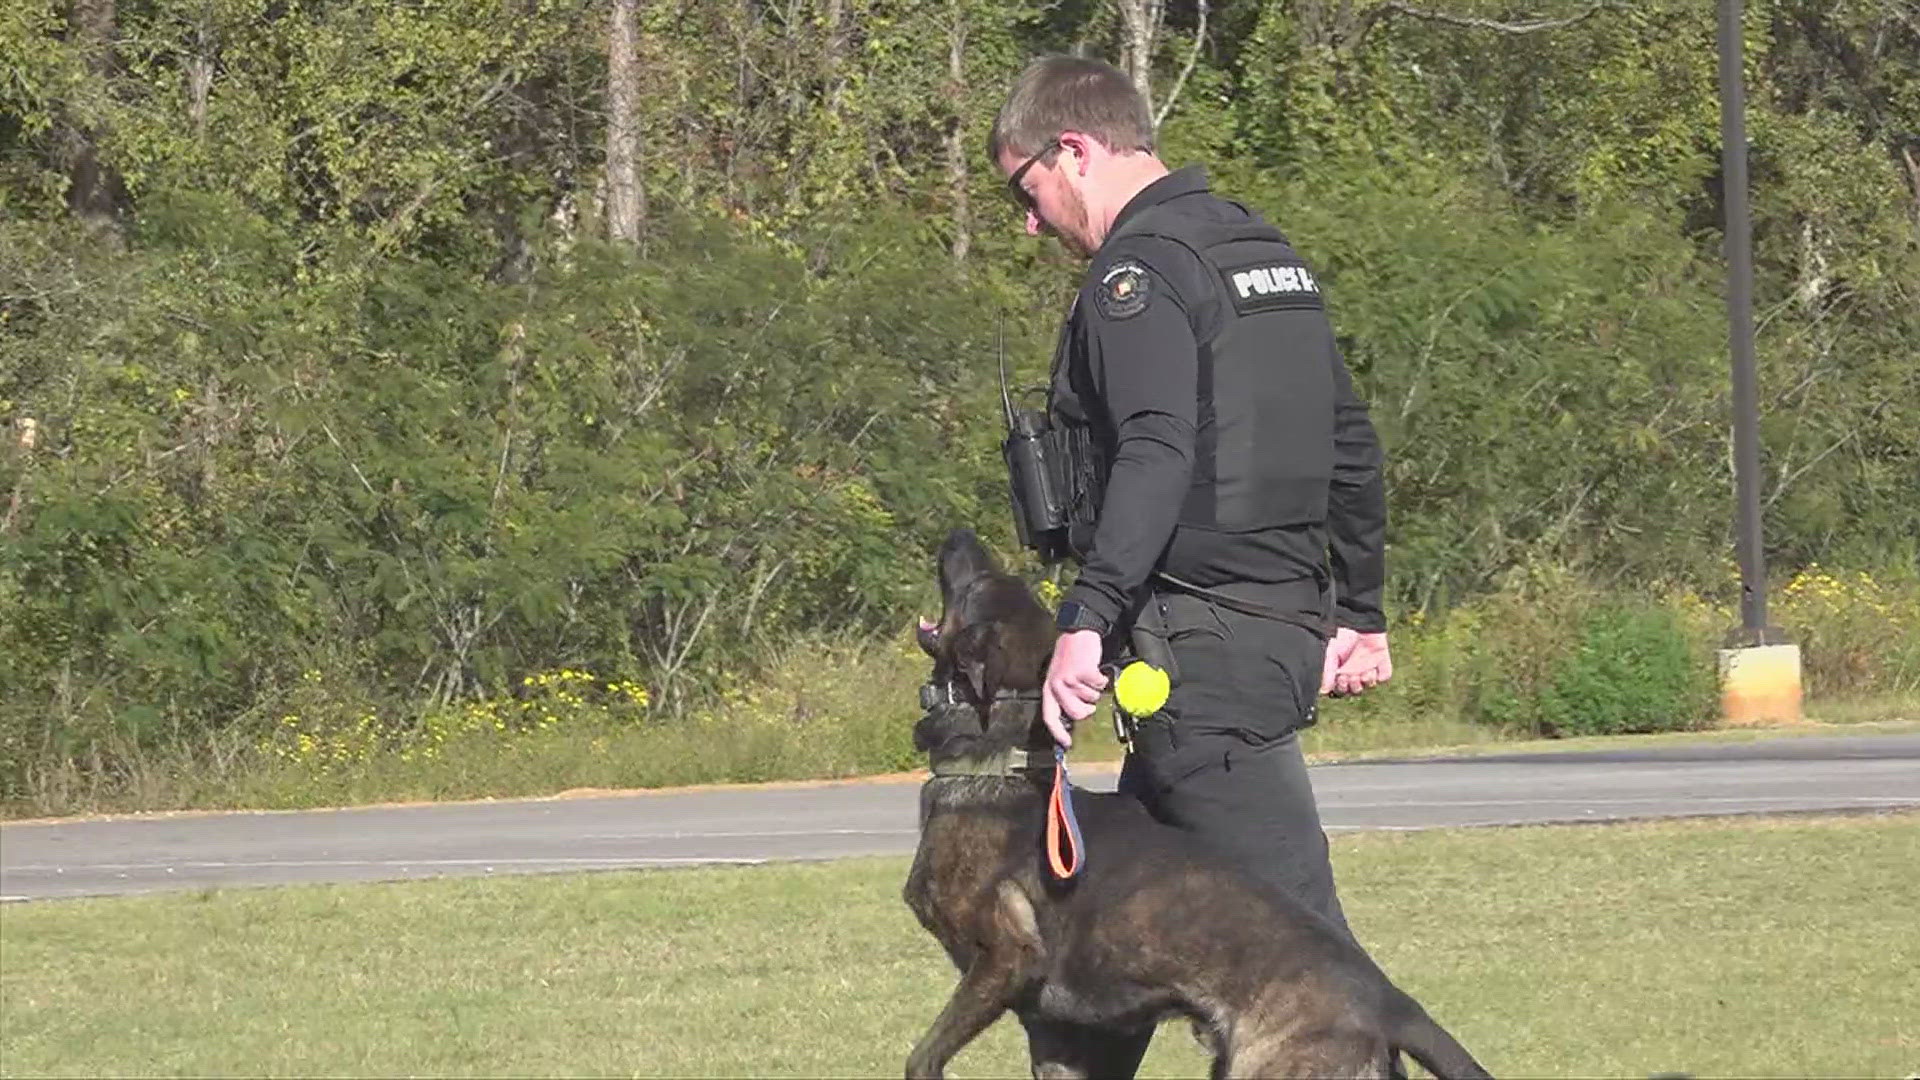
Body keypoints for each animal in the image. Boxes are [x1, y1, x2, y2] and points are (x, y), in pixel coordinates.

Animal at [898, 530, 1482, 1076]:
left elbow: (922, 1056)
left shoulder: (1006, 958)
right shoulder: (1055, 1035)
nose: (960, 537)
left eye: (976, 585)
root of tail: (1391, 1003)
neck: (1000, 758)